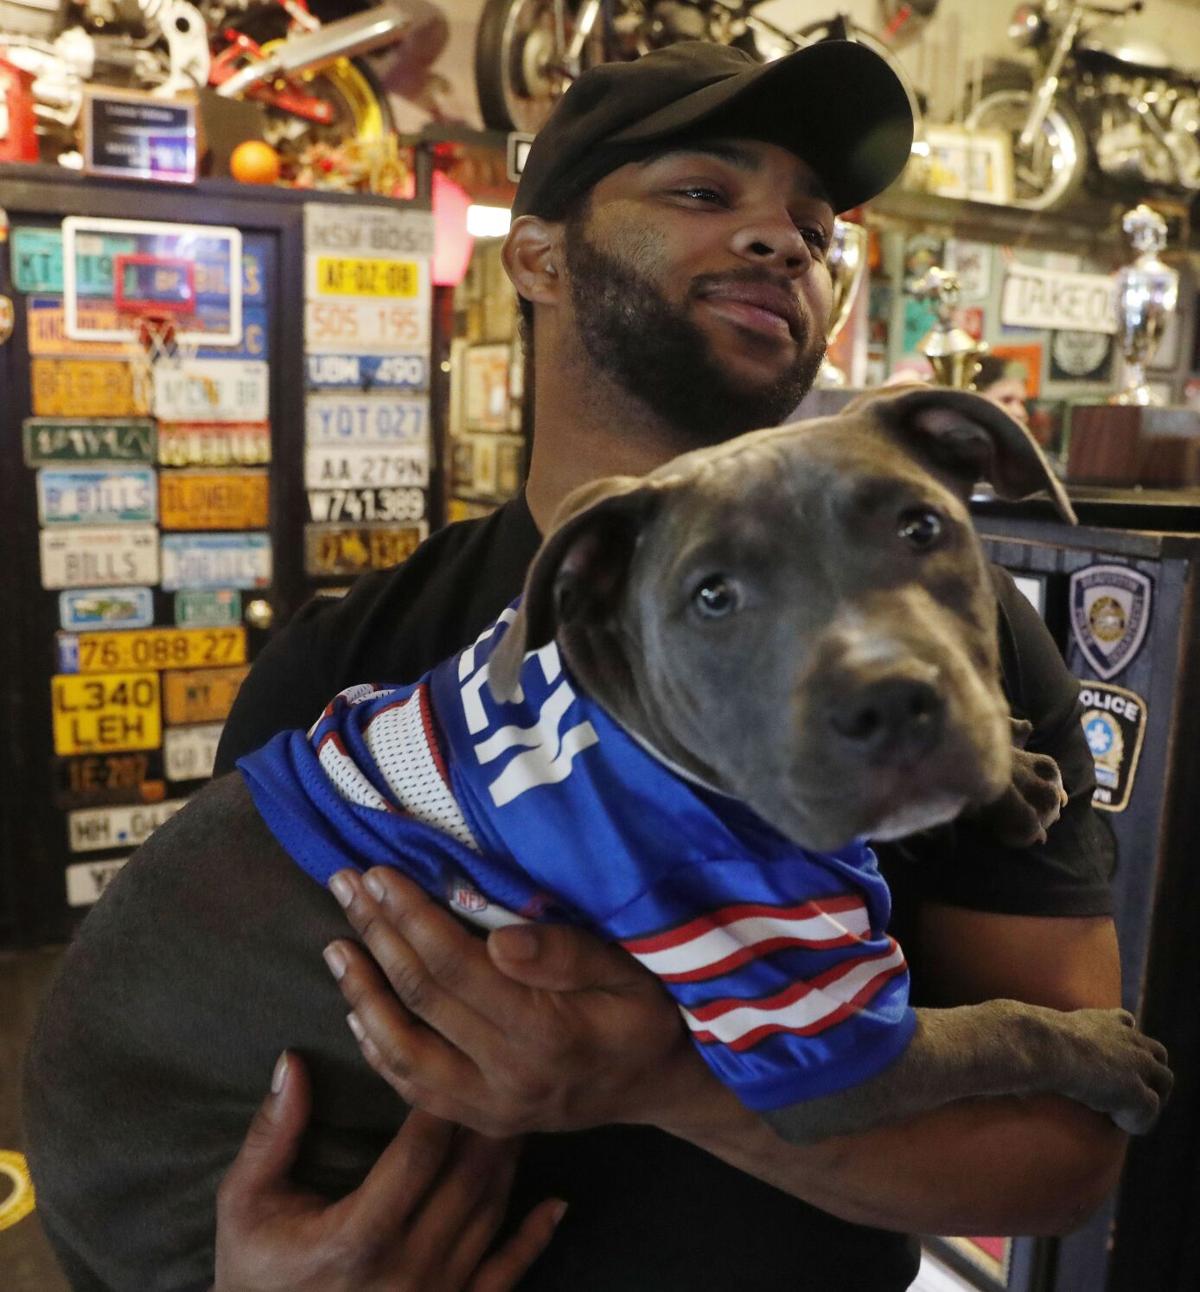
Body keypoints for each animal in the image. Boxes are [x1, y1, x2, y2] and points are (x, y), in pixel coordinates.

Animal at [23, 385, 1172, 1292]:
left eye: (922, 528)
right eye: (713, 596)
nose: (889, 701)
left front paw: (1017, 777)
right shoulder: (805, 1024)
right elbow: (996, 1028)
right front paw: (1103, 1049)